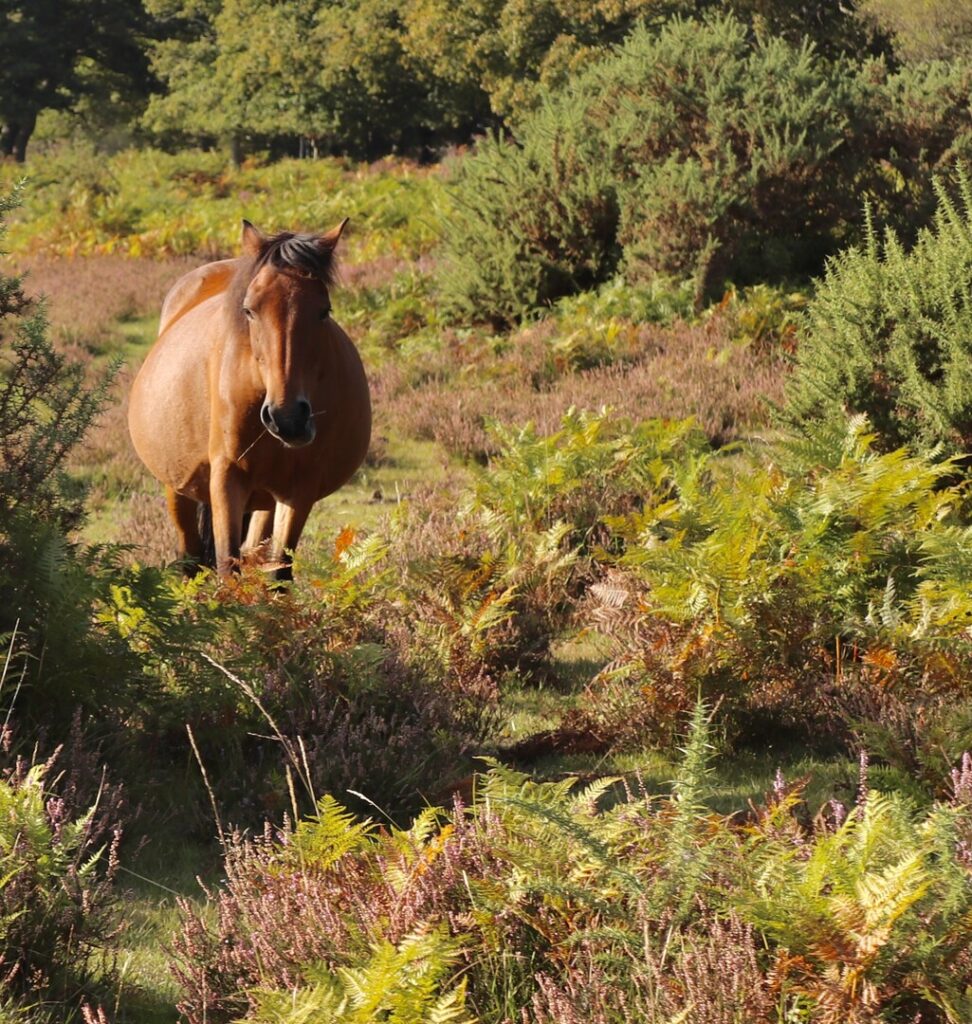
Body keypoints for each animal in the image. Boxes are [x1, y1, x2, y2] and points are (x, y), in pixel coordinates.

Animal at [128, 220, 371, 580]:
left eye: (324, 311)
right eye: (249, 310)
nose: (288, 419)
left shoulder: (300, 489)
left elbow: (278, 573)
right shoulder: (226, 479)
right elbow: (227, 568)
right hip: (178, 484)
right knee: (191, 555)